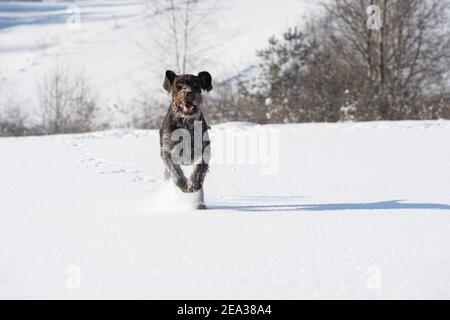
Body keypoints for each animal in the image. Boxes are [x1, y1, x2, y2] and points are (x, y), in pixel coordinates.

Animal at [160, 70, 213, 210]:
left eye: (196, 84)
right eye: (178, 84)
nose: (188, 93)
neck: (185, 122)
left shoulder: (204, 150)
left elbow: (200, 169)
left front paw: (194, 183)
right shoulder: (166, 152)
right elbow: (175, 172)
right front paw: (184, 184)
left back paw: (199, 204)